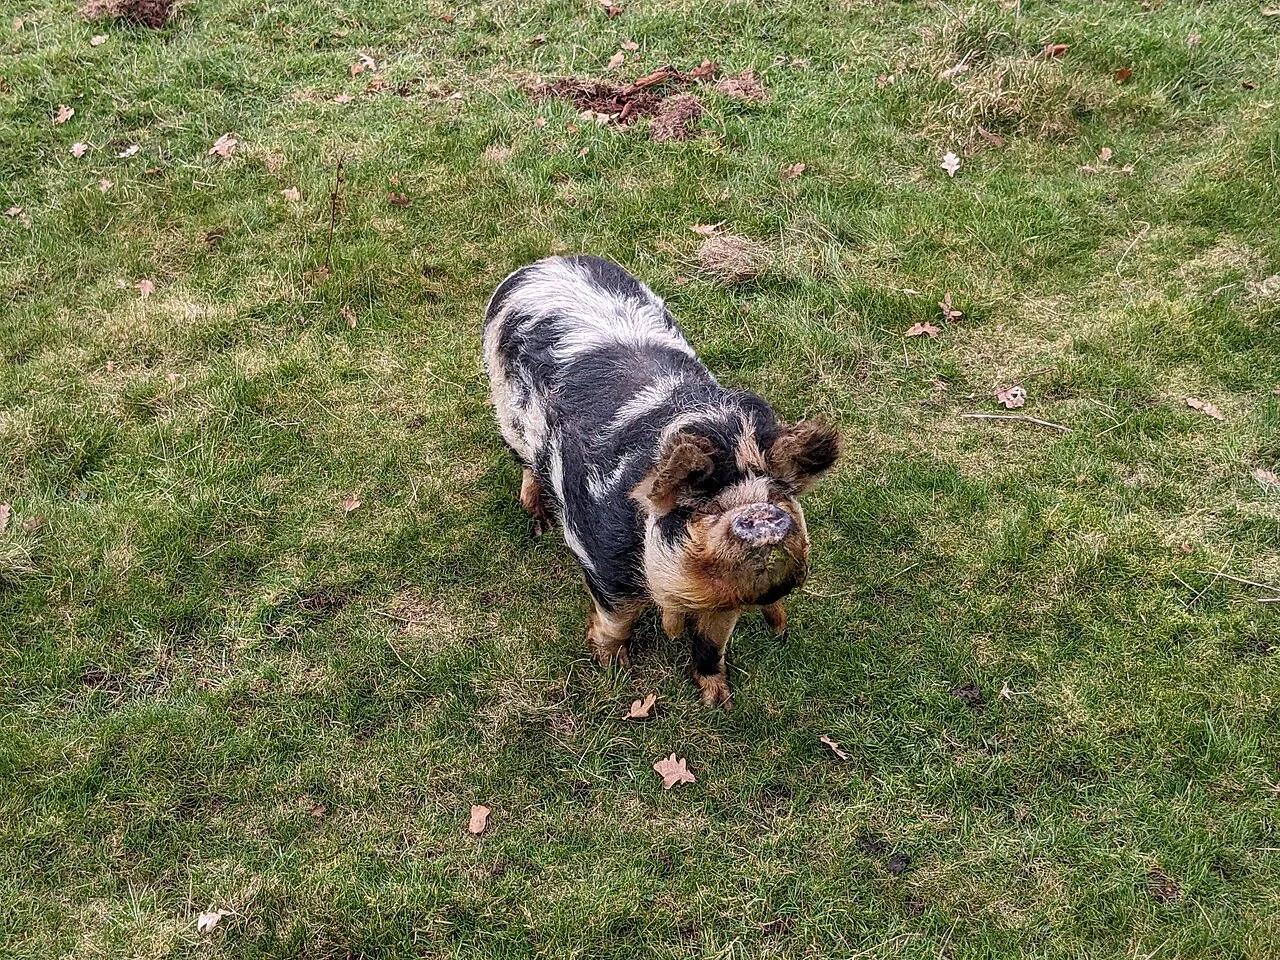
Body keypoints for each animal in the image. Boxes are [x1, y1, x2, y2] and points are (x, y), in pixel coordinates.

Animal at [483, 255, 839, 706]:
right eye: (703, 506)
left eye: (778, 493)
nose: (758, 511)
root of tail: (548, 262)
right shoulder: (602, 562)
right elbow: (618, 619)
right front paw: (614, 670)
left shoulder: (725, 602)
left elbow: (712, 645)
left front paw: (719, 700)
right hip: (506, 410)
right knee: (527, 464)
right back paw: (539, 520)